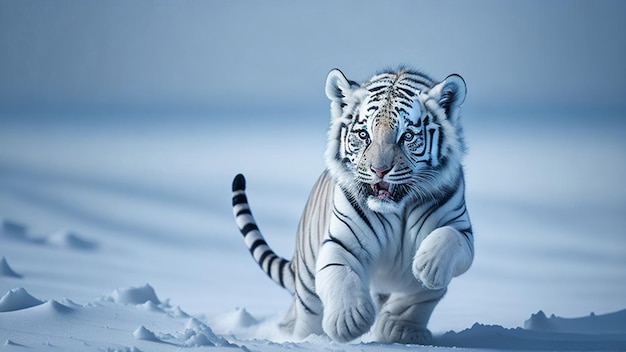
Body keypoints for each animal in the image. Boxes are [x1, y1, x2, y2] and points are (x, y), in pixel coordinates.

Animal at [232, 66, 470, 344]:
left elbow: (438, 255)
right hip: (308, 287)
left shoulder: (461, 230)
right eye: (364, 134)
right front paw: (350, 321)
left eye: (407, 136)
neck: (397, 209)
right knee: (304, 317)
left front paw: (425, 272)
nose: (380, 170)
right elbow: (341, 274)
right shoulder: (342, 241)